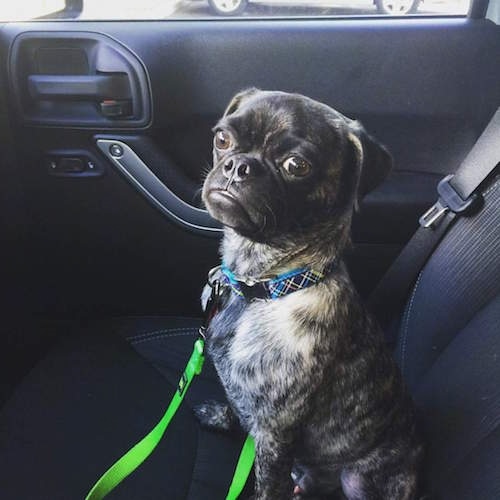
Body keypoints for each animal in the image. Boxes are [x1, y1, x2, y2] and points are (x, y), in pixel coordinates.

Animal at [195, 88, 422, 498]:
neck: (264, 286)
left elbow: (267, 483)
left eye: (296, 165)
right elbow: (236, 408)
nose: (238, 166)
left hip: (363, 480)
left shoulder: (275, 436)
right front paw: (221, 416)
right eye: (222, 139)